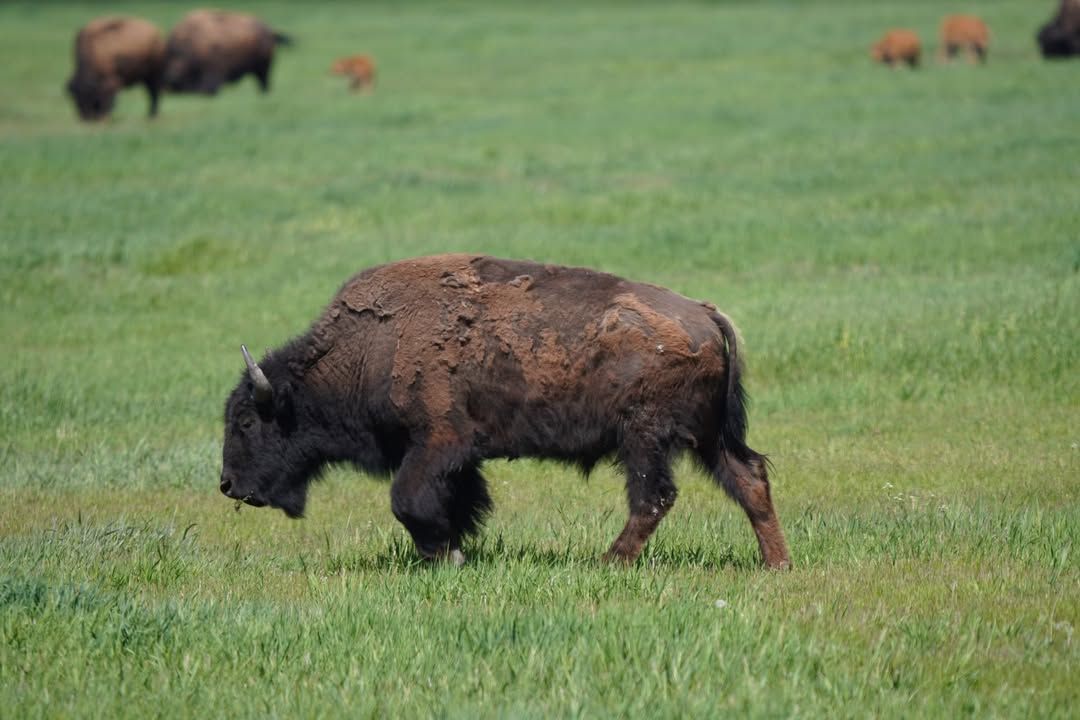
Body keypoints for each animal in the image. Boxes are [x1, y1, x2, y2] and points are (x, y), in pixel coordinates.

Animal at [220, 255, 791, 569]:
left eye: (247, 421)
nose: (227, 485)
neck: (371, 345)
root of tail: (705, 314)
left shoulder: (437, 443)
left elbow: (406, 499)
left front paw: (441, 554)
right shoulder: (455, 458)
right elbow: (457, 501)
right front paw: (452, 551)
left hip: (646, 438)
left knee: (655, 497)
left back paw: (607, 562)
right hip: (706, 437)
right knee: (748, 478)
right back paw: (776, 564)